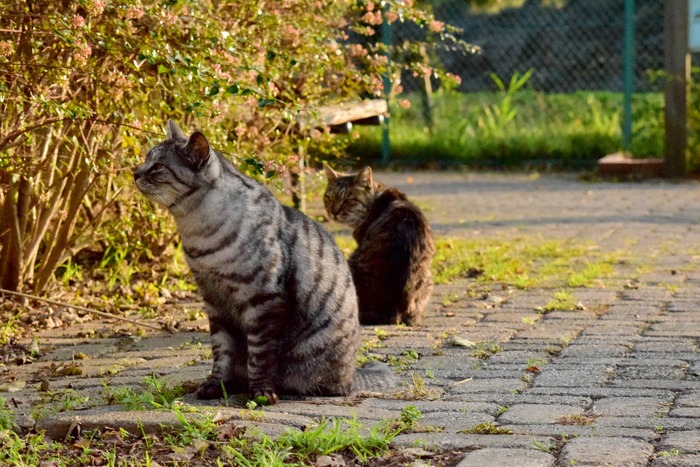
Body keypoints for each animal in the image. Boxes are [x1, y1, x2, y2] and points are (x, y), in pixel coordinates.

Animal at [134, 119, 392, 402]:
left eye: (157, 167)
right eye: (145, 159)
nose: (134, 172)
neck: (198, 233)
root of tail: (352, 377)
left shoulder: (263, 300)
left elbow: (259, 354)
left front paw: (260, 393)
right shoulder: (214, 301)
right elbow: (222, 353)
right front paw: (215, 386)